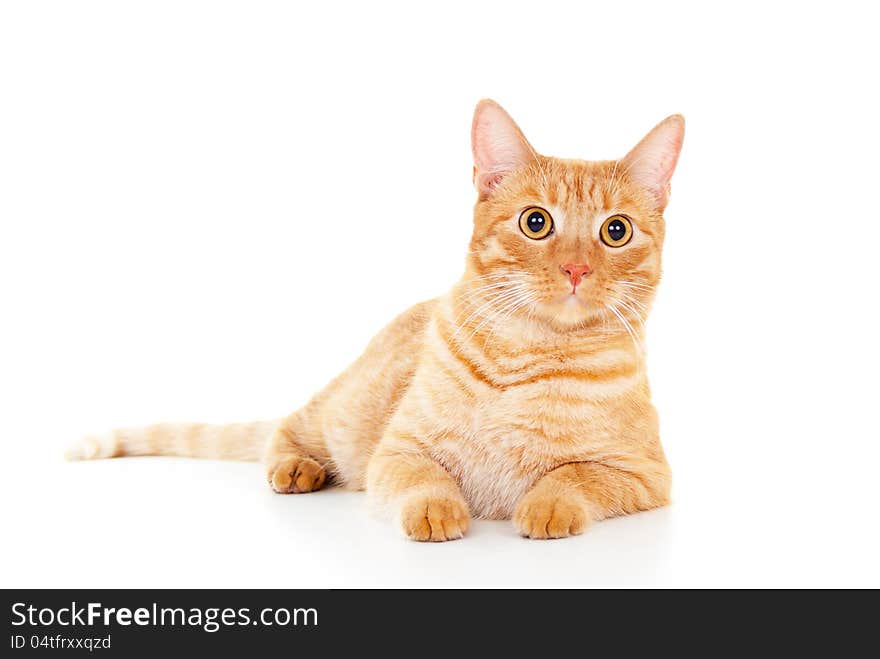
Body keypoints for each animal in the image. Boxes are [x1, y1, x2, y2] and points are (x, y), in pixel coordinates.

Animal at [70, 99, 688, 540]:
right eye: (536, 222)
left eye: (615, 231)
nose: (576, 268)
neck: (529, 352)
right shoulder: (396, 452)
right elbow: (423, 479)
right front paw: (436, 511)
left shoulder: (644, 474)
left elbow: (573, 475)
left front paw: (547, 505)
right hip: (341, 416)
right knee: (285, 428)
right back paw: (296, 468)